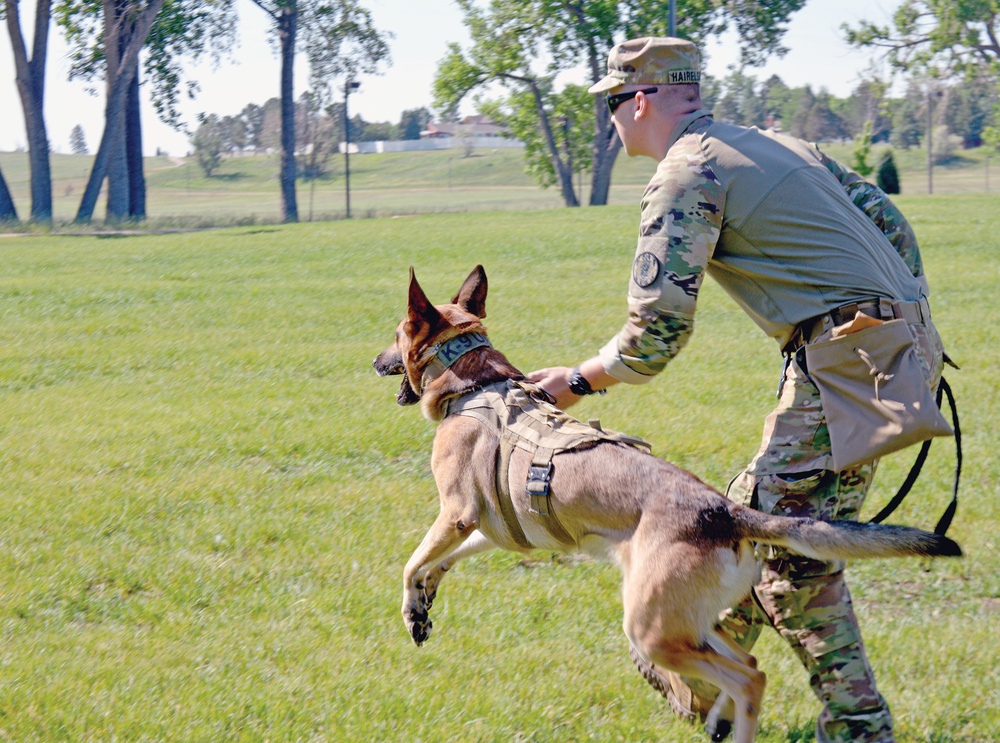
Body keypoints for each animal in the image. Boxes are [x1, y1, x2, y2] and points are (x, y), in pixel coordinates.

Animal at [376, 264, 960, 740]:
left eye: (396, 332)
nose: (374, 362)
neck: (475, 384)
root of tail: (726, 512)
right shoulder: (490, 529)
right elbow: (435, 564)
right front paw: (420, 610)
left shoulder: (456, 514)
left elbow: (410, 562)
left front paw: (411, 605)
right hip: (688, 624)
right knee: (750, 660)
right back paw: (719, 718)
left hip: (651, 628)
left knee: (748, 678)